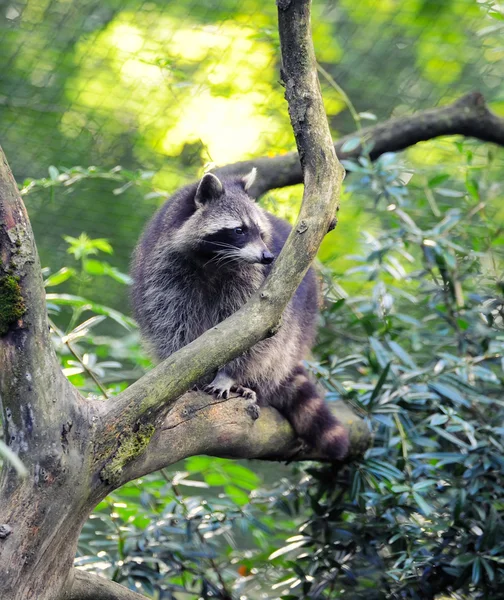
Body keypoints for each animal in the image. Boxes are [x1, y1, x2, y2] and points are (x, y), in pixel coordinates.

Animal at [132, 169, 348, 460]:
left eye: (260, 232)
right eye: (239, 230)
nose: (268, 257)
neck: (214, 260)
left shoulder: (255, 283)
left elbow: (255, 335)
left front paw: (229, 375)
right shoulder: (164, 269)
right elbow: (172, 323)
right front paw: (186, 376)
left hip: (299, 326)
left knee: (278, 349)